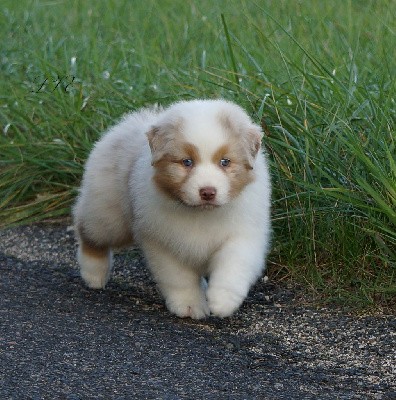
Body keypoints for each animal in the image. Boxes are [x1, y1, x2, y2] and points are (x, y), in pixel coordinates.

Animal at [73, 100, 272, 318]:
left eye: (225, 162)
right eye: (187, 162)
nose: (208, 192)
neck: (201, 214)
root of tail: (126, 125)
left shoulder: (243, 232)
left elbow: (234, 265)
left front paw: (222, 301)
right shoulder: (164, 241)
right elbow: (179, 278)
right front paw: (190, 305)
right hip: (109, 213)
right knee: (88, 231)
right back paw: (94, 274)